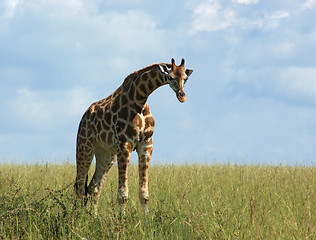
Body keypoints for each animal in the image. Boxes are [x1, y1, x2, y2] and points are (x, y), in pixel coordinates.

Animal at [74, 58, 193, 214]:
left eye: (185, 79)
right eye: (170, 77)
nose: (182, 96)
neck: (140, 99)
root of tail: (84, 116)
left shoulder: (146, 144)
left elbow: (144, 193)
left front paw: (146, 218)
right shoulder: (125, 144)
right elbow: (123, 194)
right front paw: (122, 219)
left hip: (106, 153)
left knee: (94, 187)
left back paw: (93, 217)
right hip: (84, 146)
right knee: (80, 185)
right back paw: (77, 218)